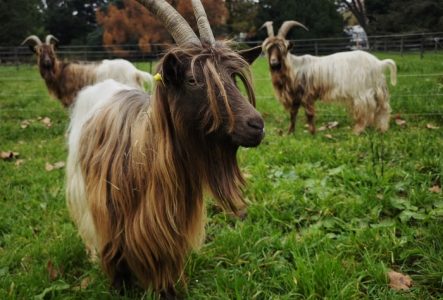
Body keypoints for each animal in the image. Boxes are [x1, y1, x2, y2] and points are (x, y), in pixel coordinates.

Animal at [22, 34, 154, 107]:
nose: (47, 62)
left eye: (52, 51)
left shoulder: (72, 99)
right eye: (38, 52)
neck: (60, 71)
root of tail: (134, 72)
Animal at [66, 0, 264, 296]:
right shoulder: (108, 214)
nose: (256, 125)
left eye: (233, 76)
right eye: (193, 80)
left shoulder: (165, 229)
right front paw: (119, 288)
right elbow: (114, 256)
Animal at [262, 20, 398, 134]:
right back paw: (382, 128)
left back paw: (357, 131)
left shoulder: (306, 95)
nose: (274, 62)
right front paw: (290, 133)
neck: (294, 67)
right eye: (268, 49)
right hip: (378, 89)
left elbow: (309, 114)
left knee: (366, 110)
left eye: (282, 49)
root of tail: (378, 63)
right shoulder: (295, 97)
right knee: (383, 108)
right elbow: (293, 114)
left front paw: (312, 132)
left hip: (363, 91)